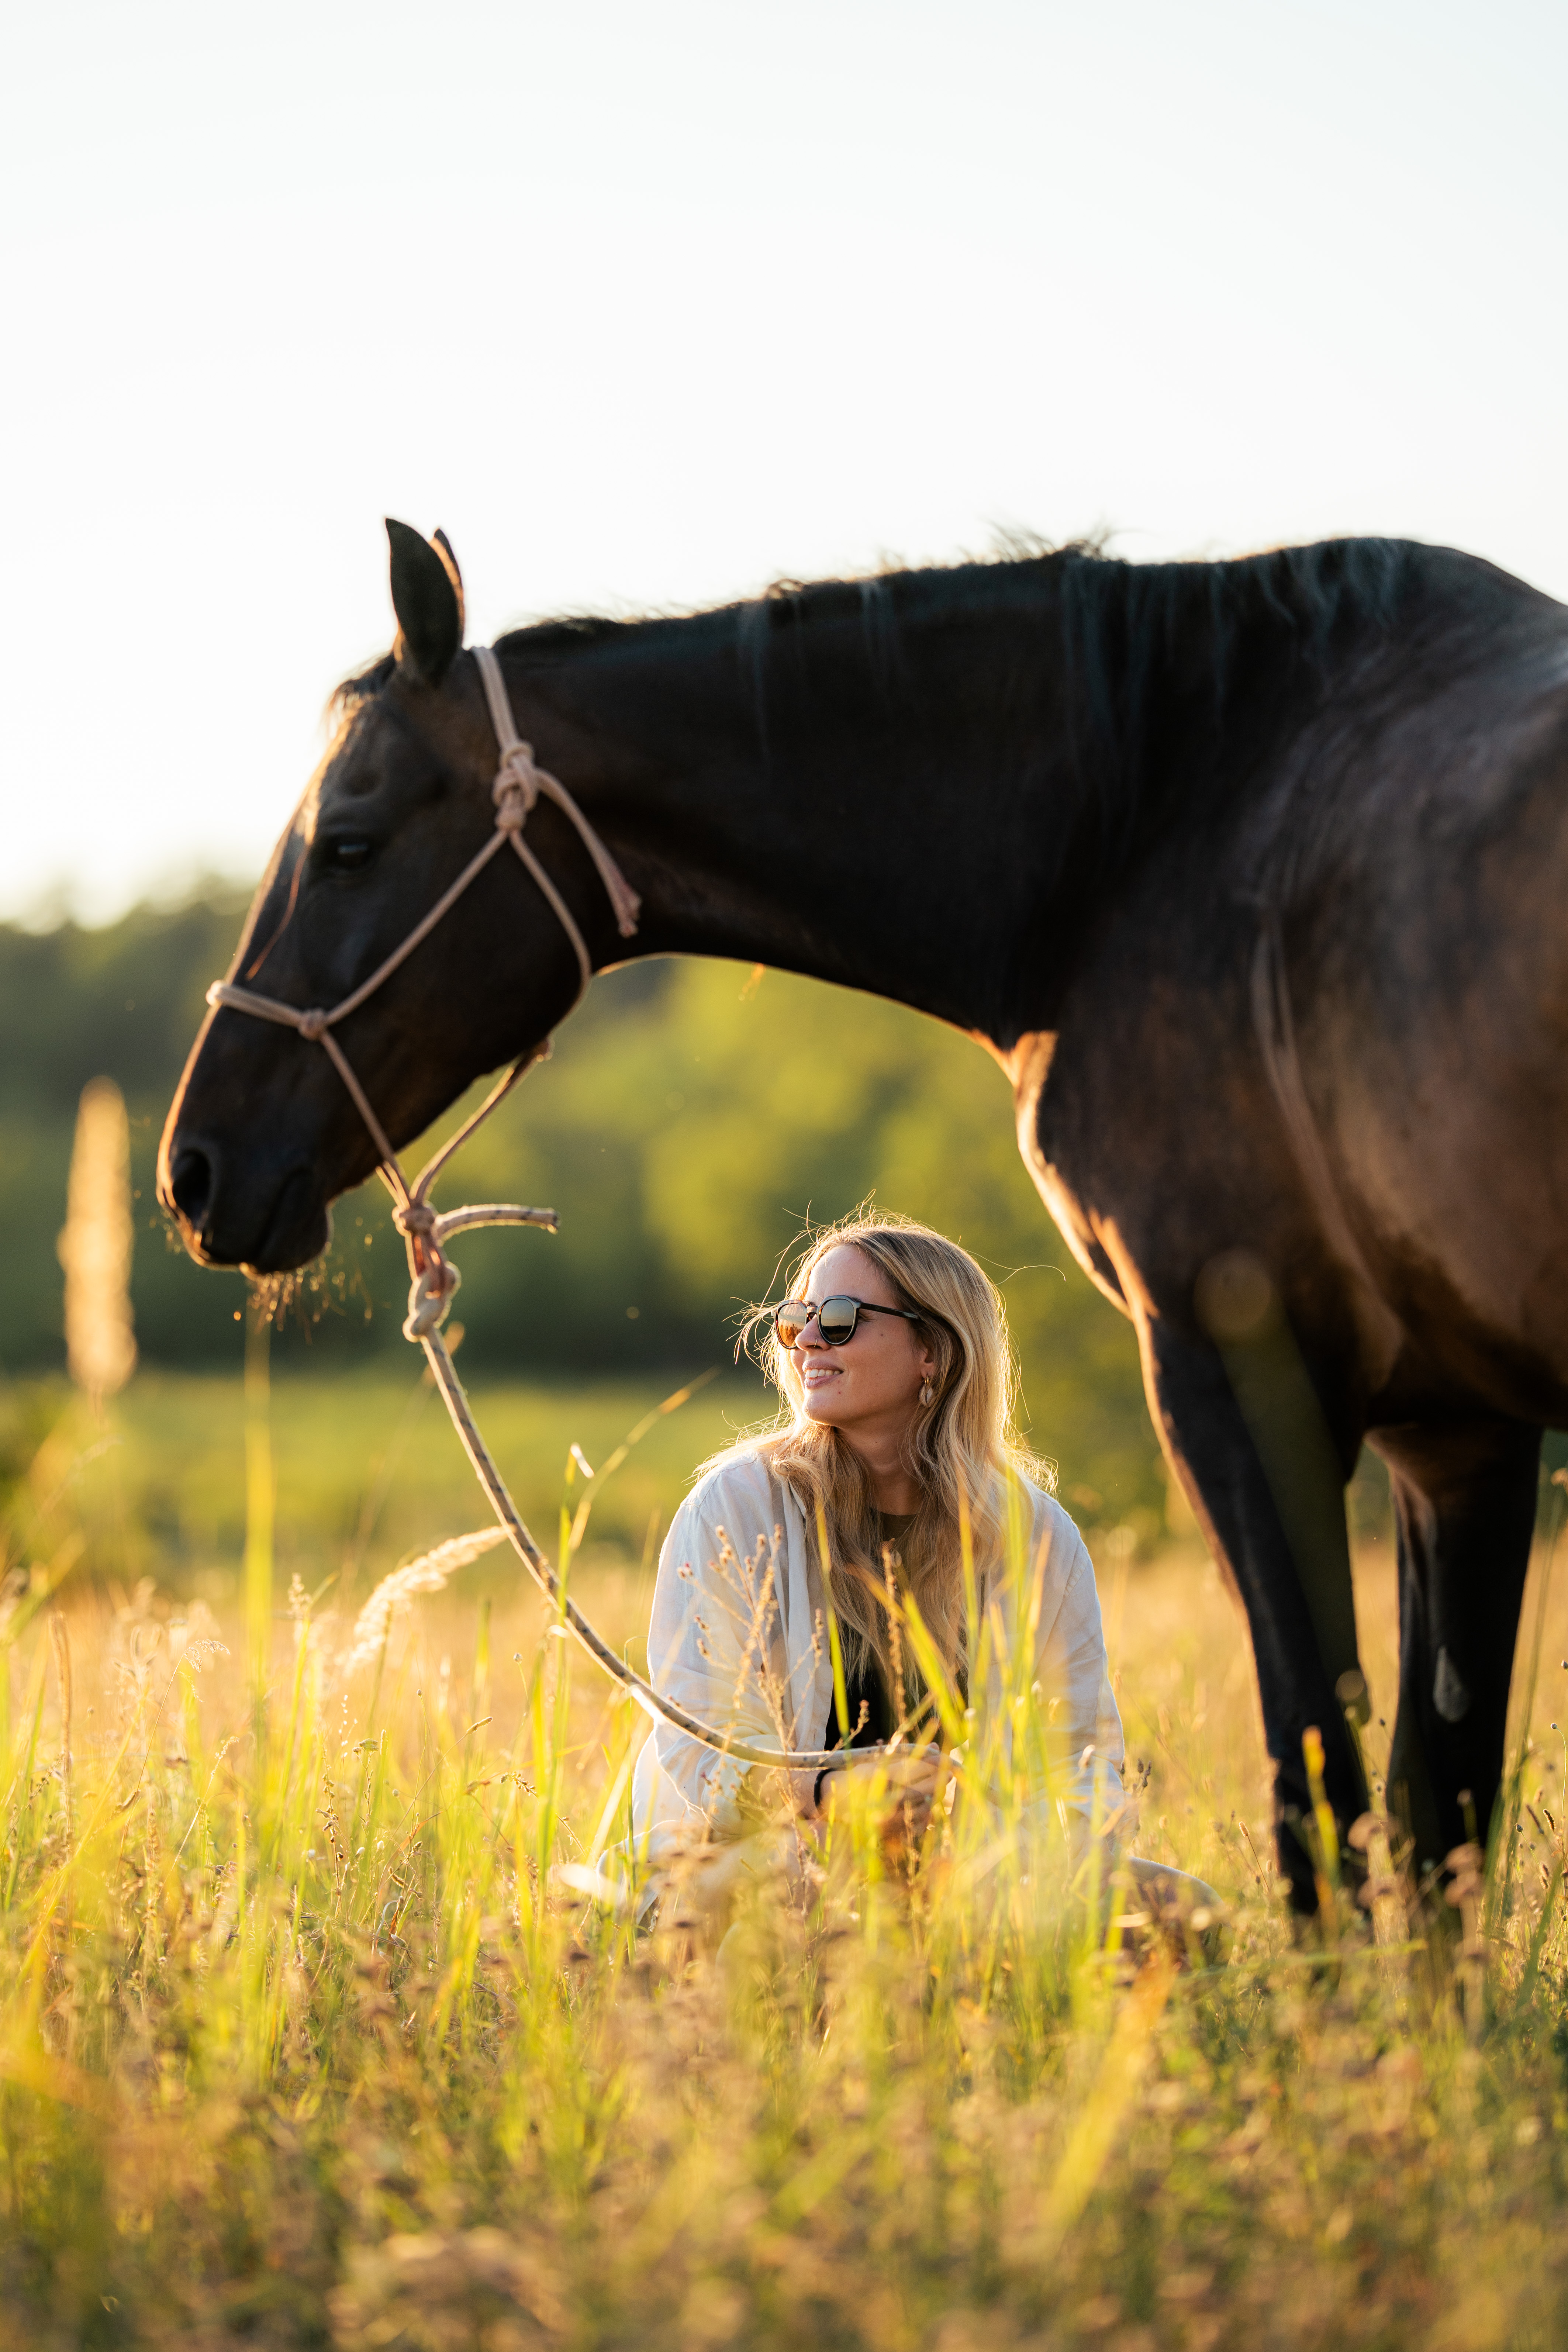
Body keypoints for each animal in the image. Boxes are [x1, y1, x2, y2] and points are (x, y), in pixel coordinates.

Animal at [159, 518, 1568, 1910]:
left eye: (350, 838)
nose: (193, 1172)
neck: (1147, 823)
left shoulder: (1236, 1370)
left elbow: (1326, 1809)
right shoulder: (1456, 1436)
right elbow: (1434, 1823)